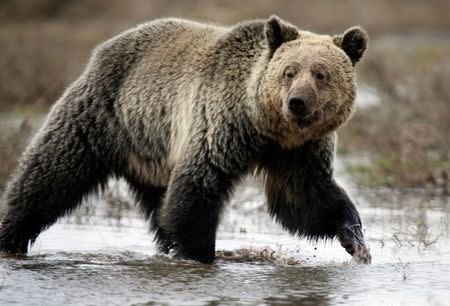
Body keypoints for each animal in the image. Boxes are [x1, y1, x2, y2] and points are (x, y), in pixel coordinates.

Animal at [1, 15, 370, 262]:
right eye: (289, 71)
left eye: (321, 74)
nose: (297, 102)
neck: (266, 126)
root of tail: (104, 47)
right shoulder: (221, 124)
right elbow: (198, 188)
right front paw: (199, 254)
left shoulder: (298, 151)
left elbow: (305, 199)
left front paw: (356, 239)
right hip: (103, 114)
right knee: (50, 174)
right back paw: (11, 236)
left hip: (152, 150)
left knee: (158, 203)